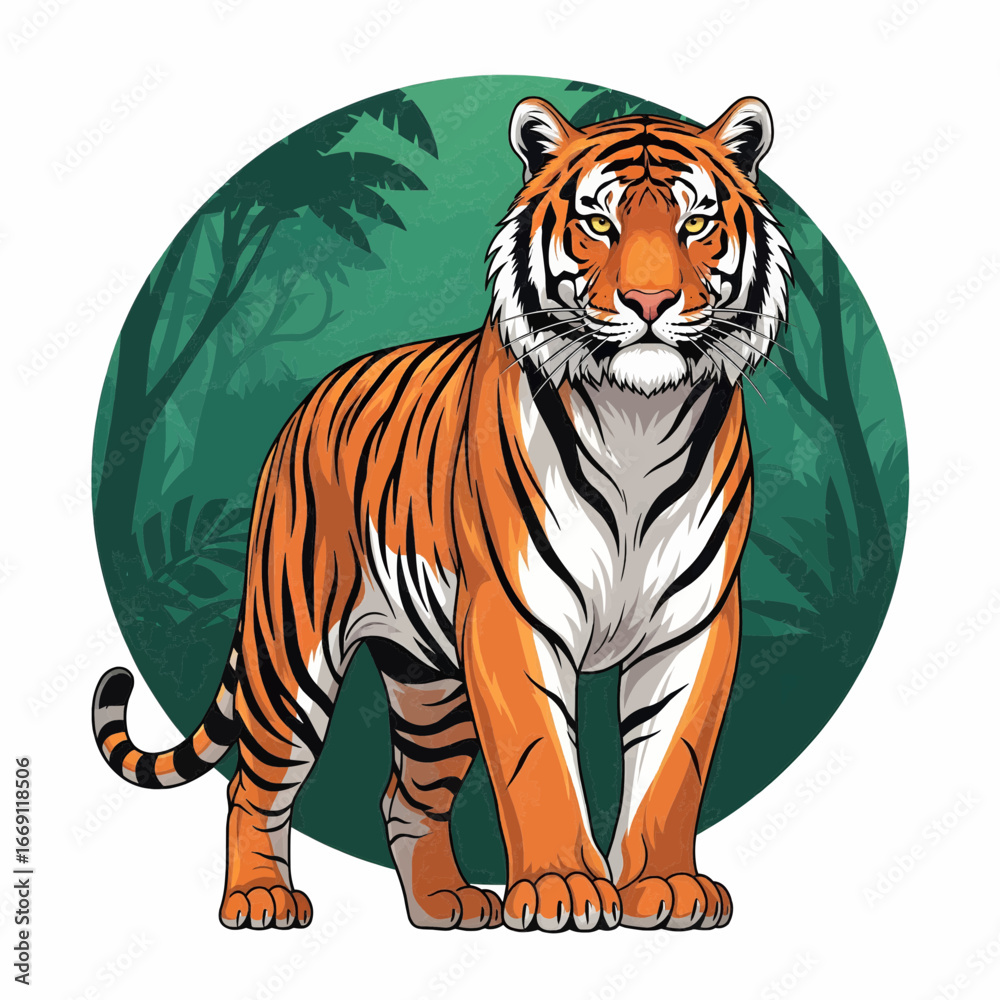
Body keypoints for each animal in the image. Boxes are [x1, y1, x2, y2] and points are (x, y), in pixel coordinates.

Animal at [92, 93, 791, 933]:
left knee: (405, 796)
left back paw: (443, 903)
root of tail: (302, 409)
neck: (638, 416)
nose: (650, 304)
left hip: (431, 681)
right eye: (598, 223)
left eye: (694, 224)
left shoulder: (693, 622)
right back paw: (259, 898)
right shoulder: (513, 615)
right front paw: (563, 888)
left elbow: (672, 762)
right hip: (293, 654)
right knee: (252, 786)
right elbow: (538, 757)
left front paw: (666, 887)